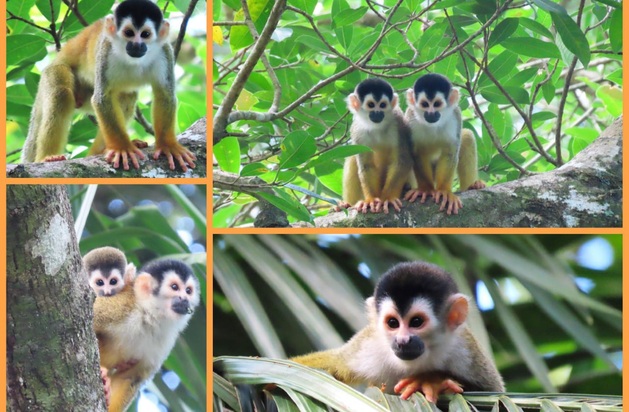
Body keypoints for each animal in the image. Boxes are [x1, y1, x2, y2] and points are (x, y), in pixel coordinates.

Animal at [22, 0, 195, 171]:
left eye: (145, 34)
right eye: (129, 33)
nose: (136, 45)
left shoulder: (165, 52)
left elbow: (164, 95)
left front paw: (167, 146)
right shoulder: (106, 50)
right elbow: (102, 98)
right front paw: (122, 148)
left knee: (127, 97)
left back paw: (99, 151)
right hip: (51, 74)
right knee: (61, 93)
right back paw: (48, 157)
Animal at [94, 260, 199, 410]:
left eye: (188, 291)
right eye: (174, 287)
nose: (184, 299)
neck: (148, 317)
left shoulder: (165, 342)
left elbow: (129, 378)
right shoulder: (120, 306)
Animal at [290, 260, 506, 402]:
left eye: (416, 322)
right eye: (393, 323)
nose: (402, 341)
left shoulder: (466, 351)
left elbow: (495, 393)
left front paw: (431, 379)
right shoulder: (368, 347)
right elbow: (331, 365)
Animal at [340, 77, 414, 214]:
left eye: (383, 105)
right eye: (371, 105)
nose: (377, 113)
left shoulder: (398, 122)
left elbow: (402, 161)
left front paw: (387, 199)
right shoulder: (357, 130)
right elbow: (366, 166)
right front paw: (371, 200)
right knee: (353, 158)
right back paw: (345, 205)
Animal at [402, 74, 486, 216]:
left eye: (437, 104)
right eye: (425, 104)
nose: (431, 113)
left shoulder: (455, 116)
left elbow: (450, 152)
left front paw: (444, 192)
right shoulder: (410, 117)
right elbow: (416, 153)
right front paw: (425, 189)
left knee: (467, 136)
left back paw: (472, 186)